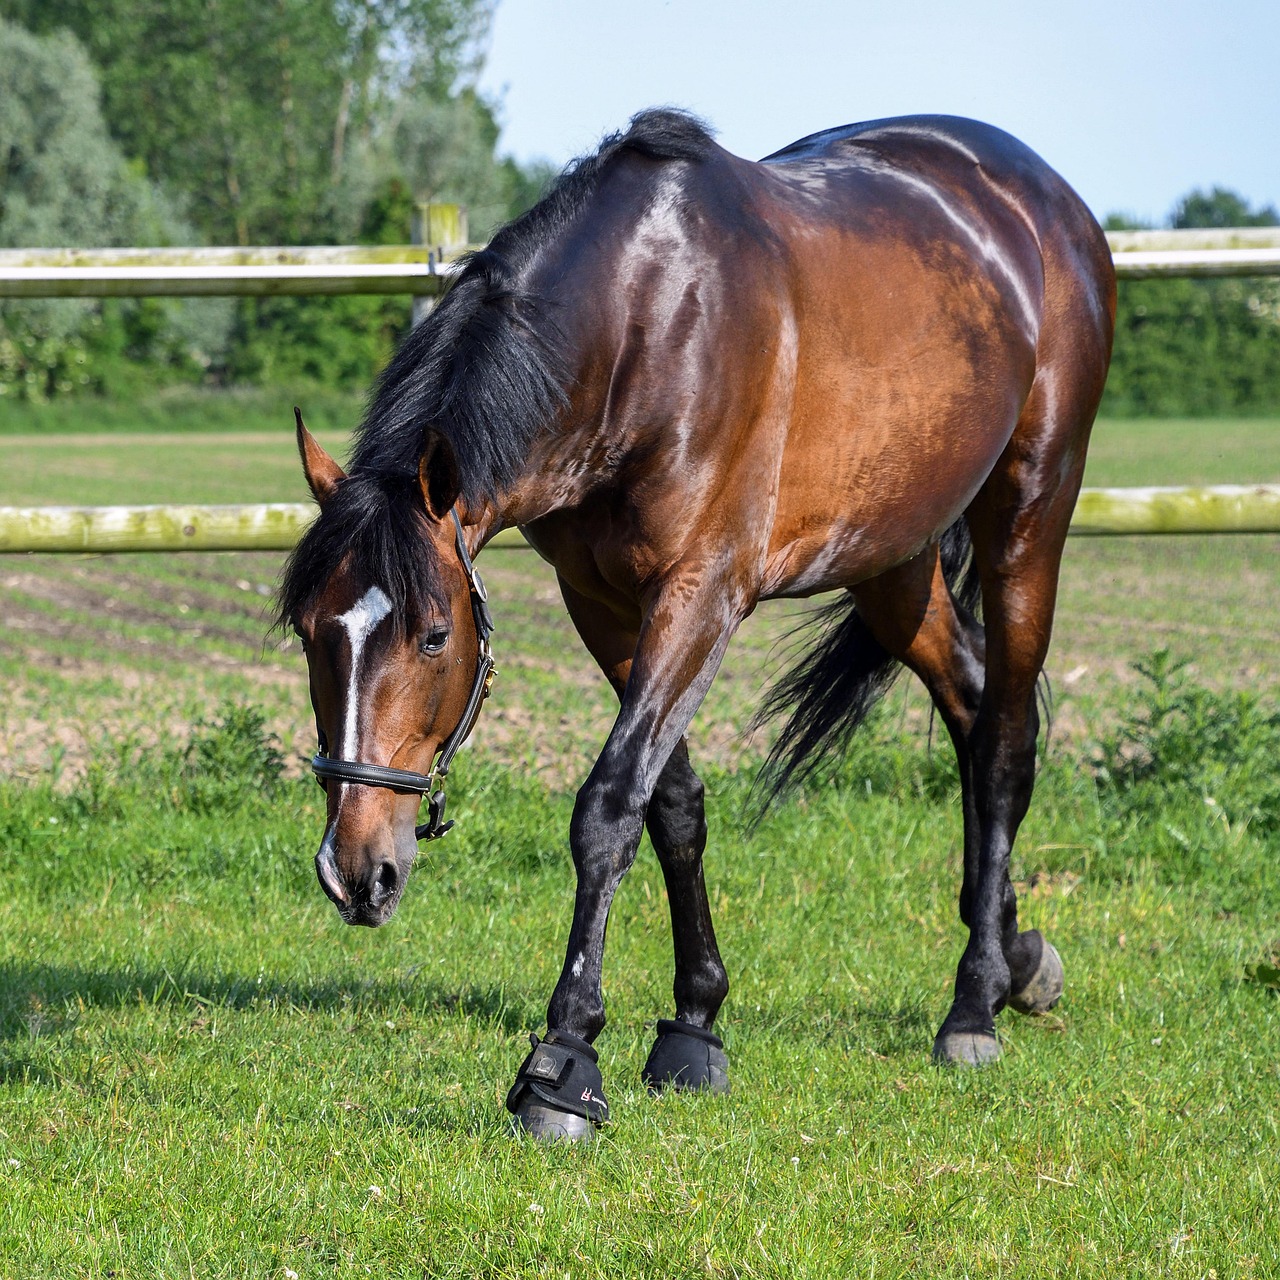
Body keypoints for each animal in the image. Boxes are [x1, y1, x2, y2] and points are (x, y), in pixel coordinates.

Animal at [279, 109, 1115, 1140]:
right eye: (309, 632)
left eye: (435, 636)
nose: (358, 872)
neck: (643, 328)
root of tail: (1046, 201)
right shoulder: (600, 602)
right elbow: (670, 802)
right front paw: (694, 1023)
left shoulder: (700, 593)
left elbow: (608, 807)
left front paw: (564, 1063)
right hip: (894, 558)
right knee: (966, 703)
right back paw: (1015, 957)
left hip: (1028, 518)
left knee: (1003, 738)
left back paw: (973, 1004)